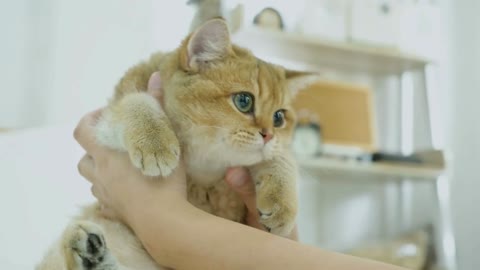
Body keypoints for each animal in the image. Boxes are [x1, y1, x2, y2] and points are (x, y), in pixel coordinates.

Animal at [38, 19, 316, 270]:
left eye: (279, 117)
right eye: (244, 101)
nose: (268, 135)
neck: (204, 170)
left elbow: (282, 160)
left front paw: (282, 208)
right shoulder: (106, 121)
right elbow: (137, 102)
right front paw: (156, 145)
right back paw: (87, 253)